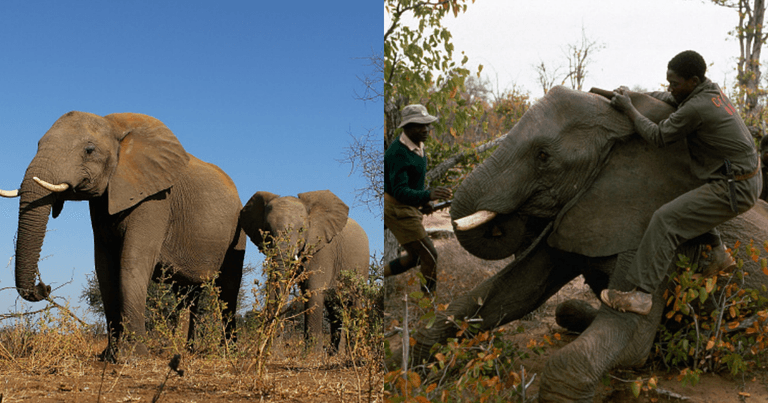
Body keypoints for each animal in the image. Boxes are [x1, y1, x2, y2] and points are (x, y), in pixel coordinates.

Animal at [1, 111, 246, 362]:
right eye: (38, 144)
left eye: (89, 150)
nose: (45, 287)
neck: (114, 126)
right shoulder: (103, 202)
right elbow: (104, 266)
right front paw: (109, 355)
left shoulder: (155, 199)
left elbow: (132, 261)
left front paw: (133, 357)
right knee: (188, 293)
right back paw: (184, 351)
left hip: (238, 229)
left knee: (228, 289)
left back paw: (228, 353)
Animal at [240, 189, 369, 354]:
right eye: (267, 229)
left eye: (301, 230)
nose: (268, 350)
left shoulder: (322, 250)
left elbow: (312, 290)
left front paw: (312, 355)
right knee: (334, 308)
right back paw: (335, 354)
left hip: (362, 266)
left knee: (355, 303)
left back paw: (352, 352)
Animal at [396, 86, 768, 402]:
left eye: (543, 156)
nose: (505, 222)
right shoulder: (579, 209)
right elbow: (513, 290)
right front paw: (409, 367)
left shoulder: (652, 225)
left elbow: (631, 342)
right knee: (562, 308)